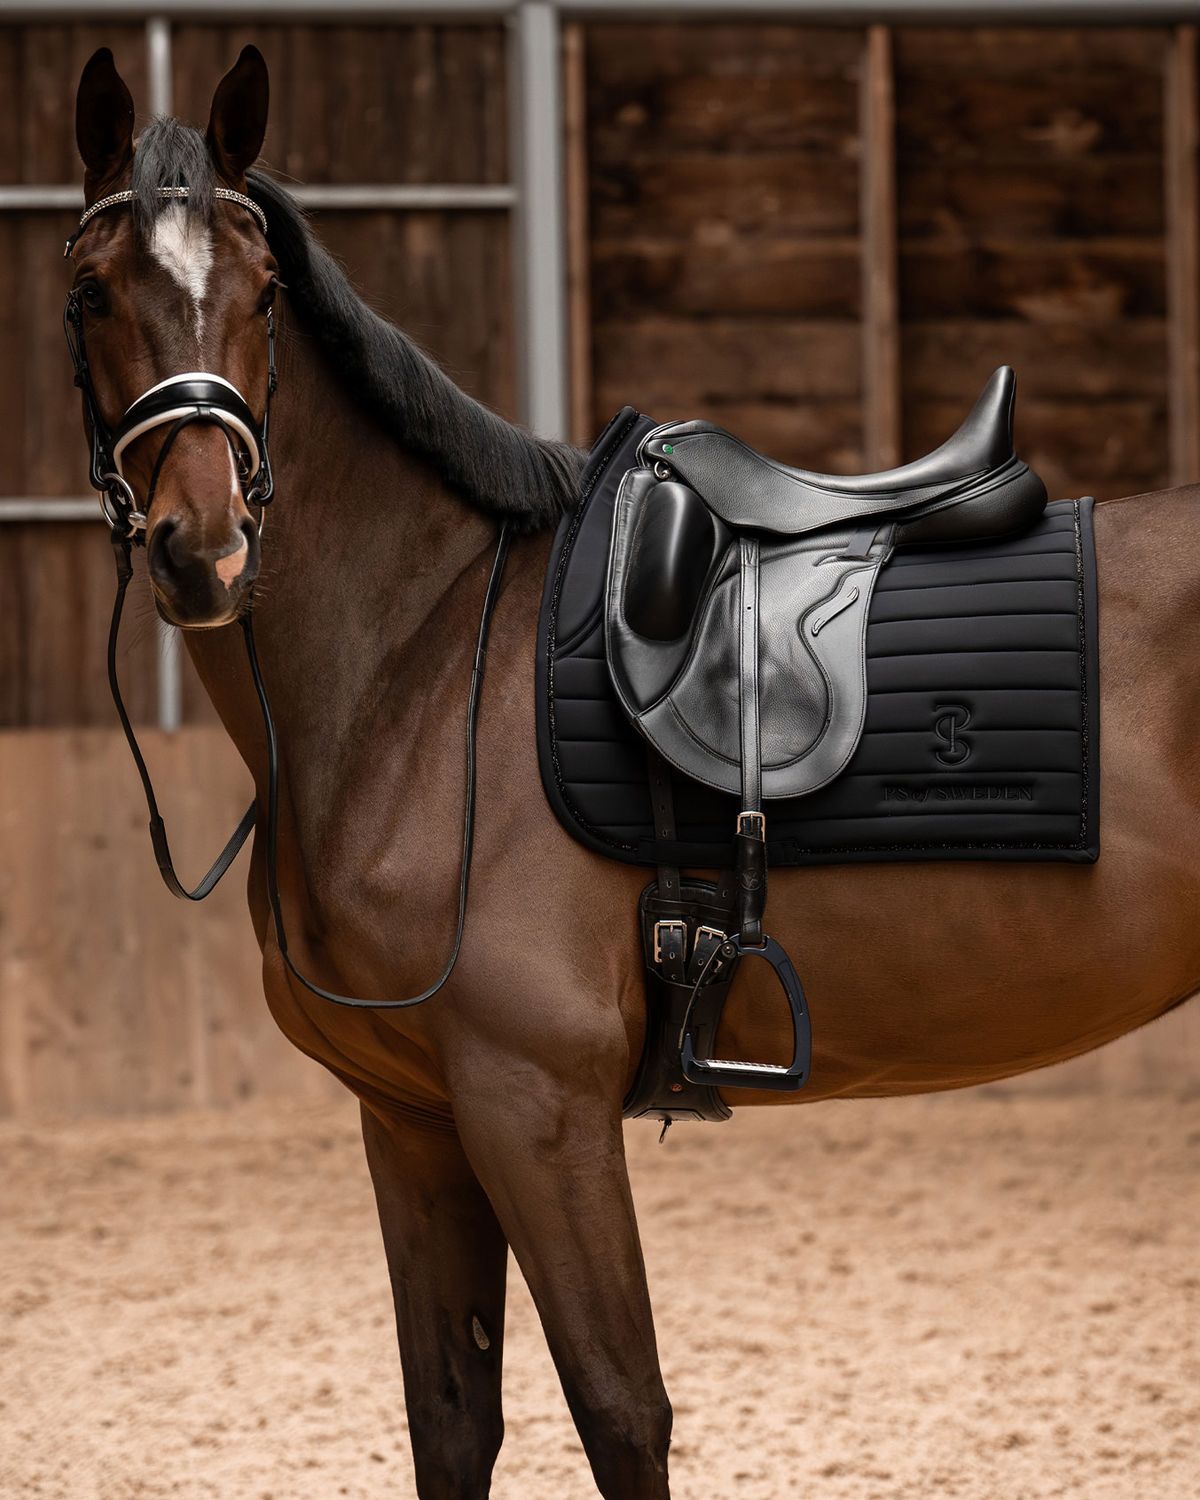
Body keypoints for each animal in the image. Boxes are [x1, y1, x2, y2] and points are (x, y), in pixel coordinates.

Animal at [67, 45, 1198, 1500]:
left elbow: (620, 1410)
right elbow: (452, 1420)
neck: (422, 660)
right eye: (93, 292)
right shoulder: (415, 1118)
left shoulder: (534, 1106)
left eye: (262, 295)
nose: (203, 546)